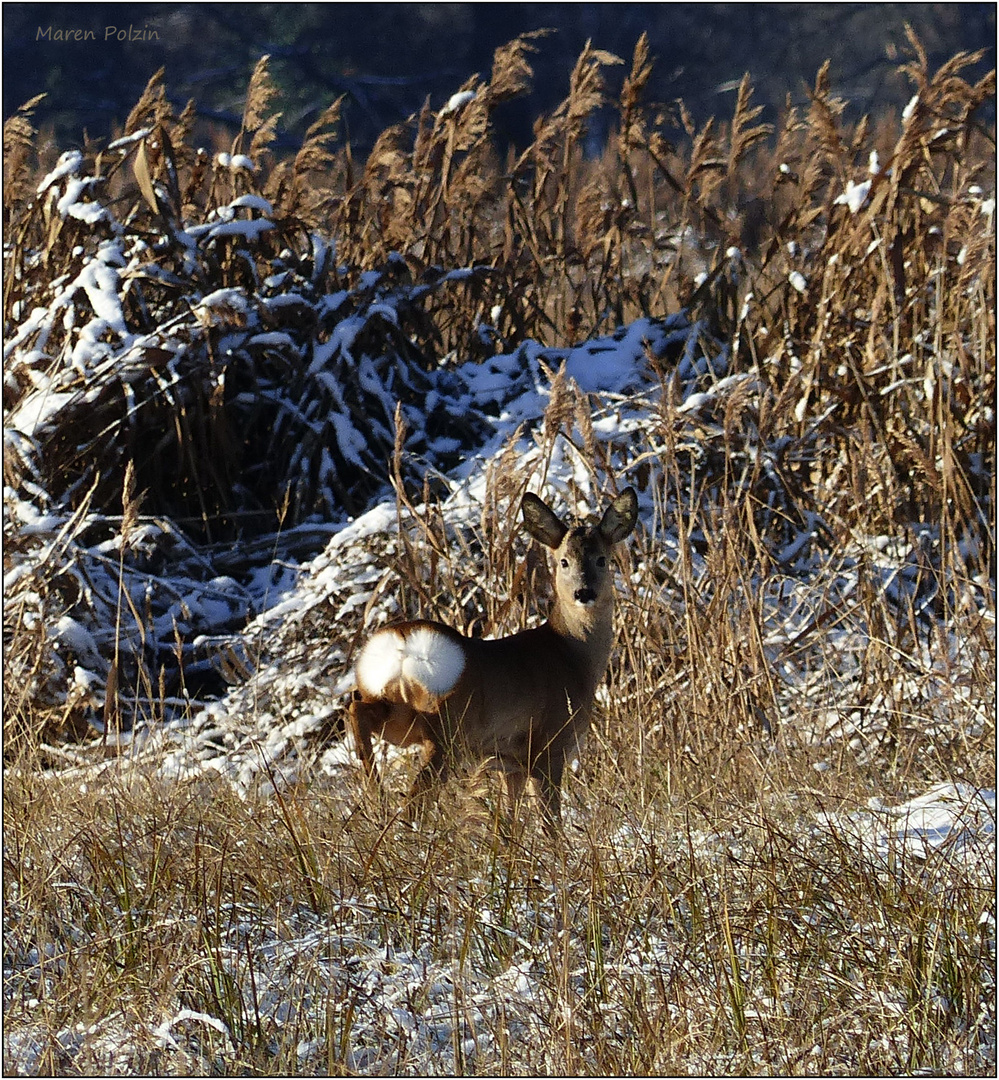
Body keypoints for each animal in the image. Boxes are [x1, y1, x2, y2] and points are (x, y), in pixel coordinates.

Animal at [347, 490, 635, 833]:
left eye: (602, 559)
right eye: (563, 561)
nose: (584, 592)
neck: (573, 655)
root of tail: (403, 643)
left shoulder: (511, 763)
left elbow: (510, 817)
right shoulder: (548, 743)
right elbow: (549, 819)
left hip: (399, 713)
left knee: (357, 710)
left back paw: (373, 788)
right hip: (446, 729)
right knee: (416, 796)